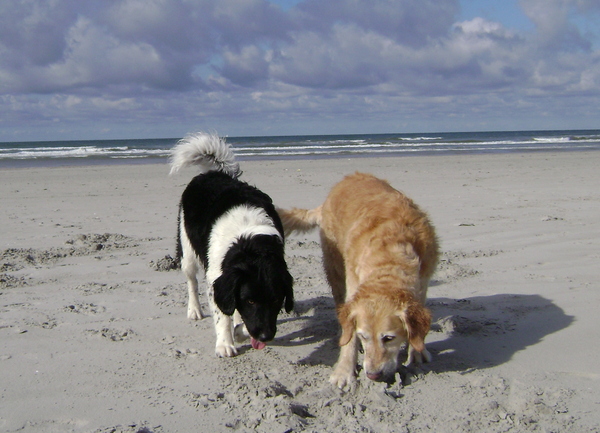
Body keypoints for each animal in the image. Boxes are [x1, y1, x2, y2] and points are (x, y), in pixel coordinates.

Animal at [170, 132, 294, 354]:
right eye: (251, 300)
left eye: (276, 299)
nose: (265, 336)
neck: (249, 243)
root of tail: (210, 173)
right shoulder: (216, 279)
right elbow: (222, 315)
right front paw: (225, 344)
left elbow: (236, 312)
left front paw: (239, 331)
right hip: (186, 248)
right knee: (191, 281)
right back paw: (194, 310)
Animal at [278, 172, 438, 388]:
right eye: (363, 336)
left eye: (389, 338)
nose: (373, 375)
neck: (389, 256)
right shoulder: (353, 288)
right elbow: (350, 335)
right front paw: (345, 371)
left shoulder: (423, 283)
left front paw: (418, 352)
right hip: (335, 270)